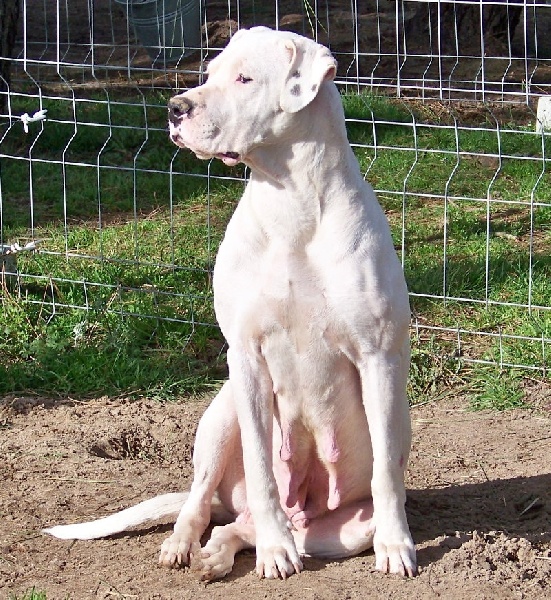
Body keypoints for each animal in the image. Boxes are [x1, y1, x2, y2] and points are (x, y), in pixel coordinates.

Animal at [44, 27, 418, 580]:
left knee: (243, 528)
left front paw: (396, 546)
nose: (175, 107)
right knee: (202, 502)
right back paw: (192, 546)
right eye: (210, 72)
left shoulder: (378, 357)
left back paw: (230, 553)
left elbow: (387, 472)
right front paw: (271, 548)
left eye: (244, 79)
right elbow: (262, 465)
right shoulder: (245, 356)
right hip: (219, 416)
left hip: (344, 527)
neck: (293, 203)